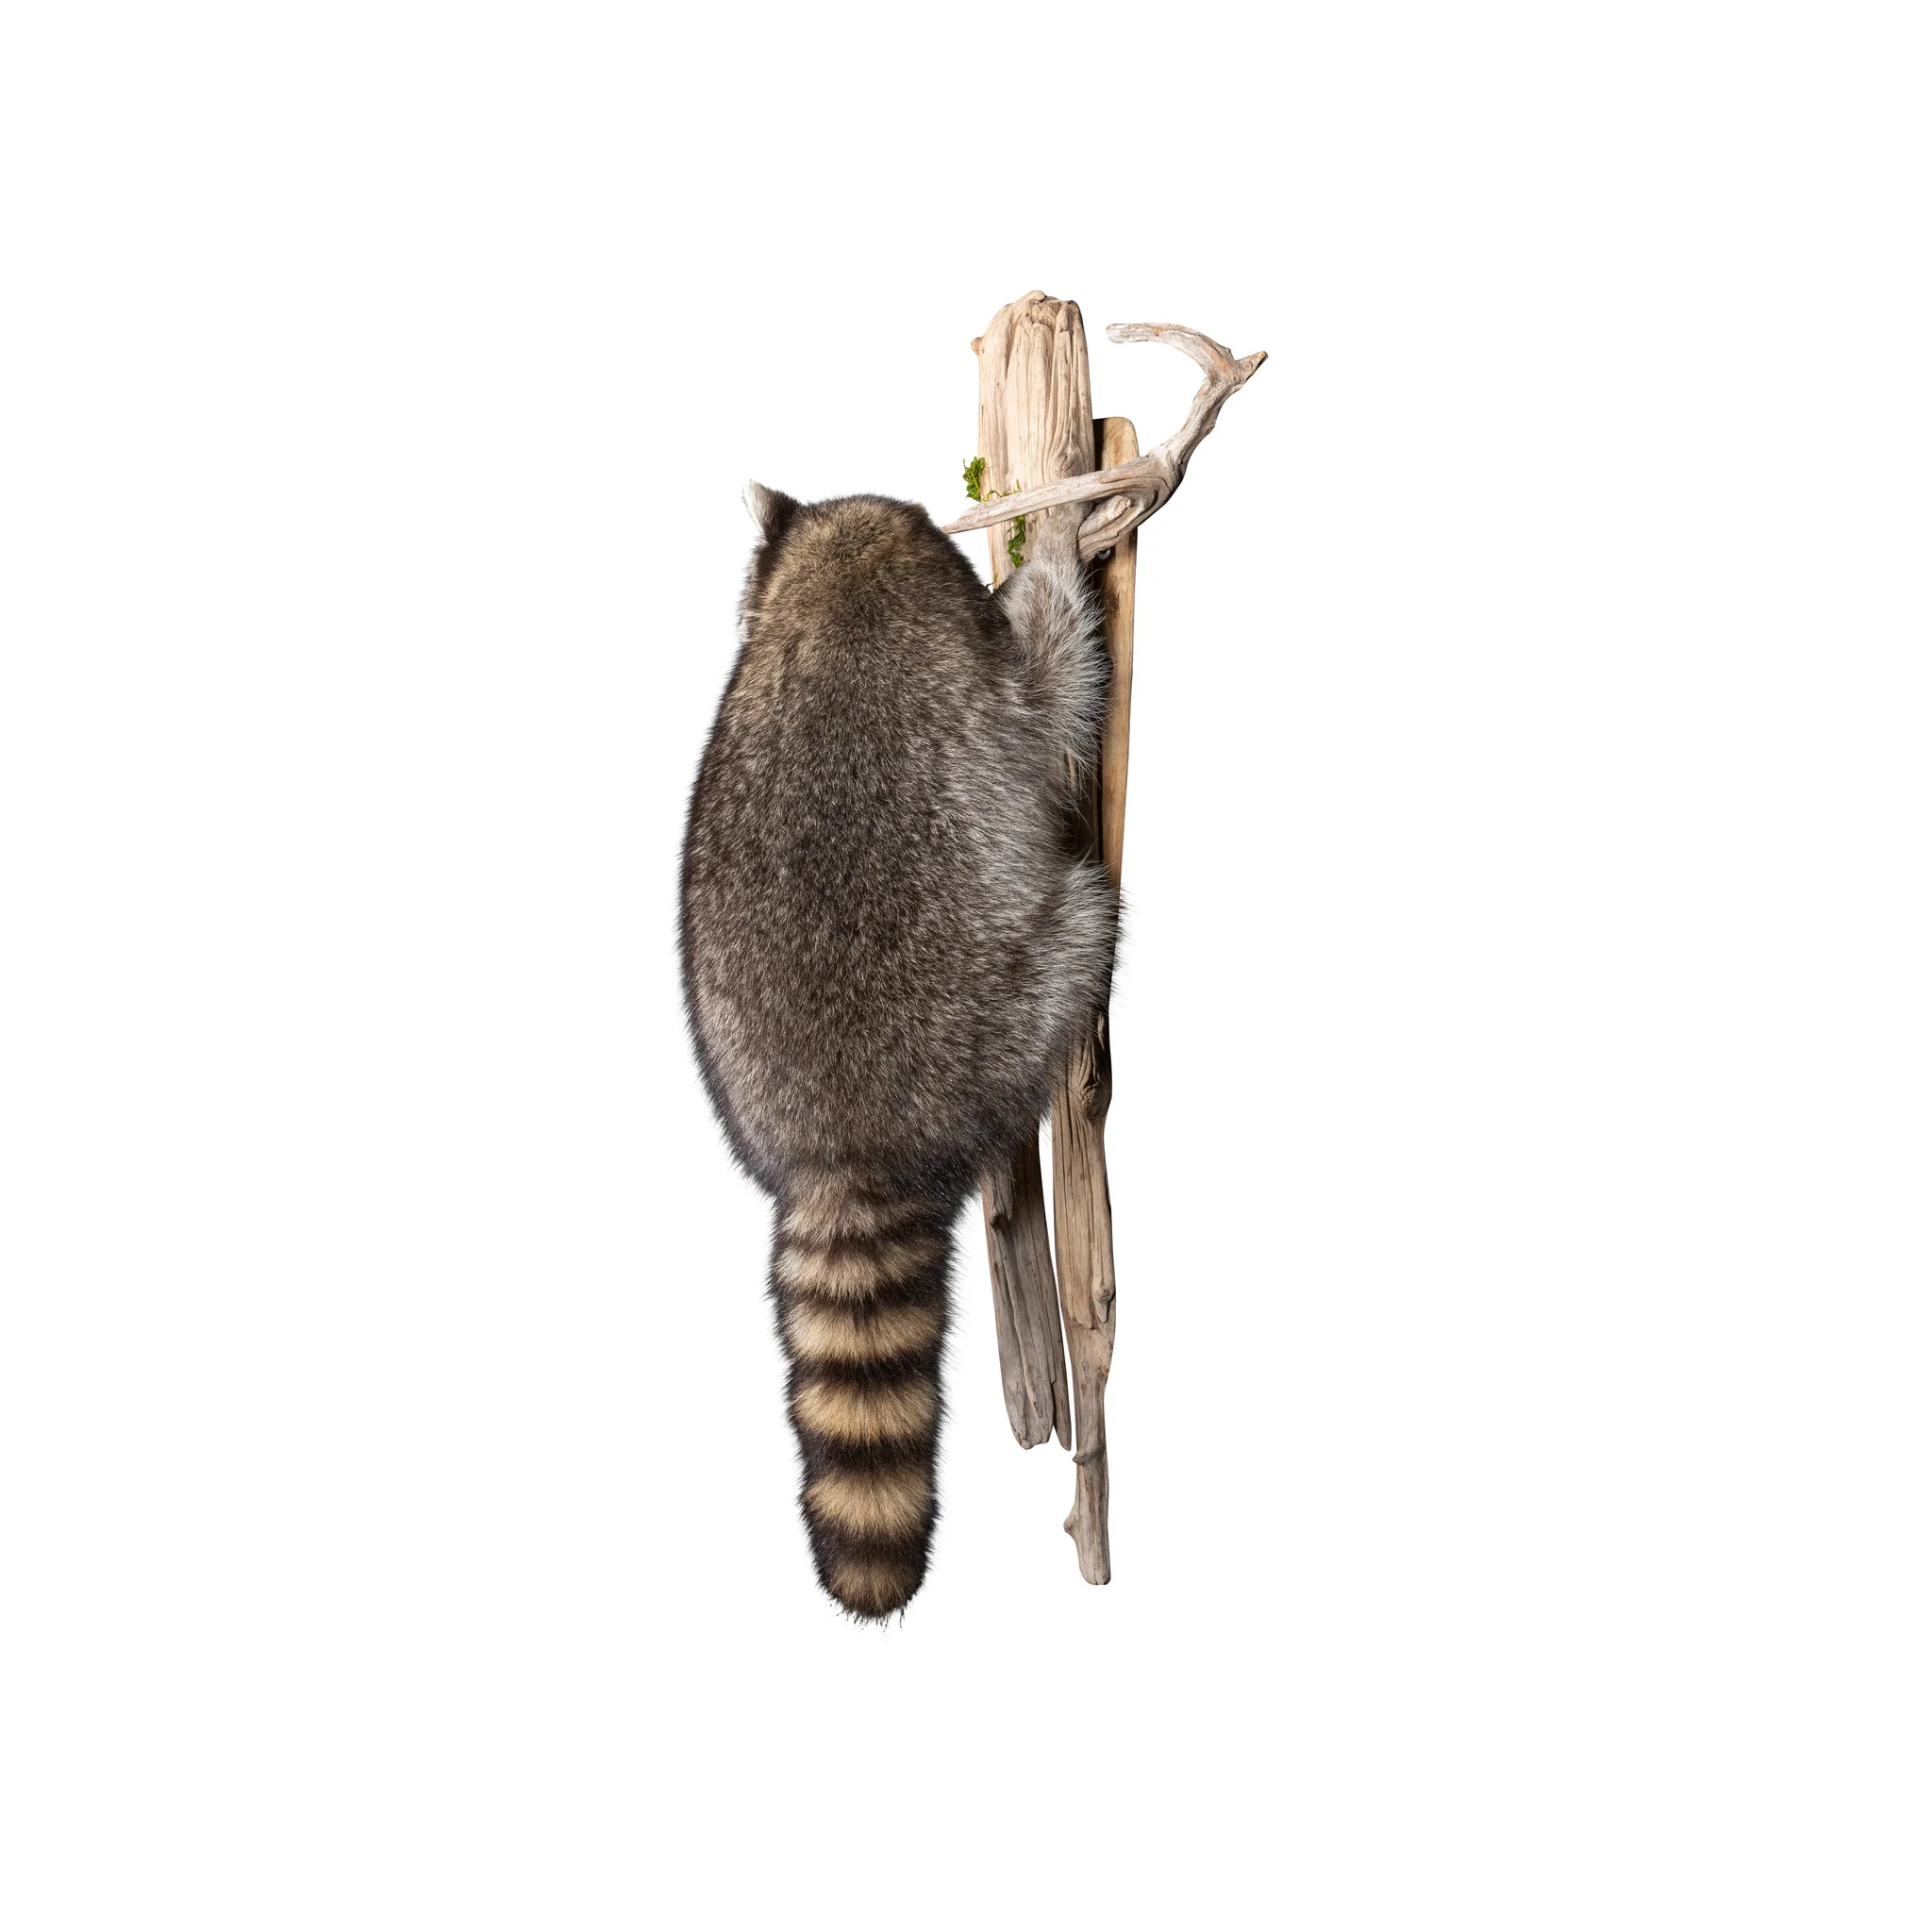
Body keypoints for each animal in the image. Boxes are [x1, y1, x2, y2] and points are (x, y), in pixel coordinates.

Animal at [679, 486, 1115, 1618]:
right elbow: (1055, 677)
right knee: (1086, 913)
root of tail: (846, 1153)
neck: (836, 573)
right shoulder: (984, 676)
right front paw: (1056, 541)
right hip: (1008, 997)